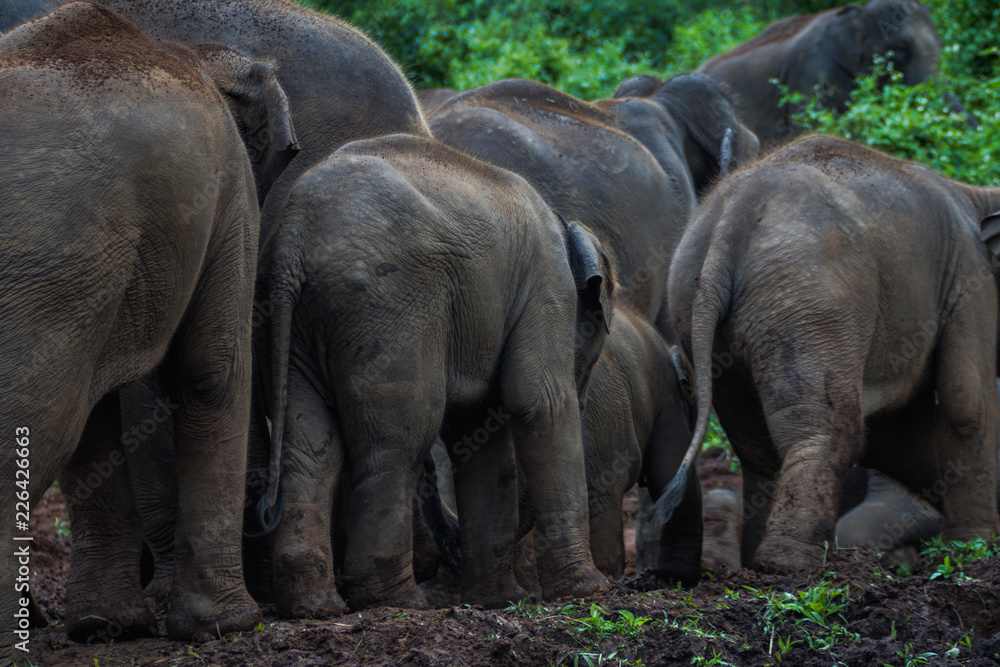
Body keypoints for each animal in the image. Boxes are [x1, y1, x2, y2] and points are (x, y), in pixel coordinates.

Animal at [0, 1, 297, 655]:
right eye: (289, 150)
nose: (265, 508)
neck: (191, 51)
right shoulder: (229, 186)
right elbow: (213, 366)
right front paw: (231, 626)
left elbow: (98, 416)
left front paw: (107, 628)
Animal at [256, 132, 613, 617]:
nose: (452, 549)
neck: (564, 225)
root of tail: (294, 236)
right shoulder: (547, 286)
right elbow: (540, 402)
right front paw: (589, 591)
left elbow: (477, 431)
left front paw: (501, 601)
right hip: (389, 310)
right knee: (398, 440)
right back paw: (399, 603)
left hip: (288, 322)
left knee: (310, 448)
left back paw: (315, 607)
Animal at [666, 134, 1000, 574]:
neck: (975, 196)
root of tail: (728, 222)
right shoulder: (970, 278)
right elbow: (966, 398)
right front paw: (973, 549)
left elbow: (902, 435)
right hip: (810, 302)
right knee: (835, 429)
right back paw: (790, 564)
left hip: (698, 309)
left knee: (757, 447)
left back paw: (758, 562)